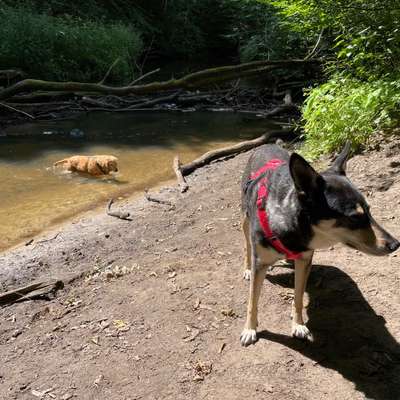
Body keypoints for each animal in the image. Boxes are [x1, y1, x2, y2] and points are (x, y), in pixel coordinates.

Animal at [239, 142, 398, 346]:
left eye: (369, 211)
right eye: (355, 217)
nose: (395, 244)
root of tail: (267, 144)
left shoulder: (304, 259)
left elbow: (299, 296)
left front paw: (298, 325)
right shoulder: (260, 264)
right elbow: (253, 301)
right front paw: (249, 329)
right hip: (245, 221)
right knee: (247, 244)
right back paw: (247, 268)